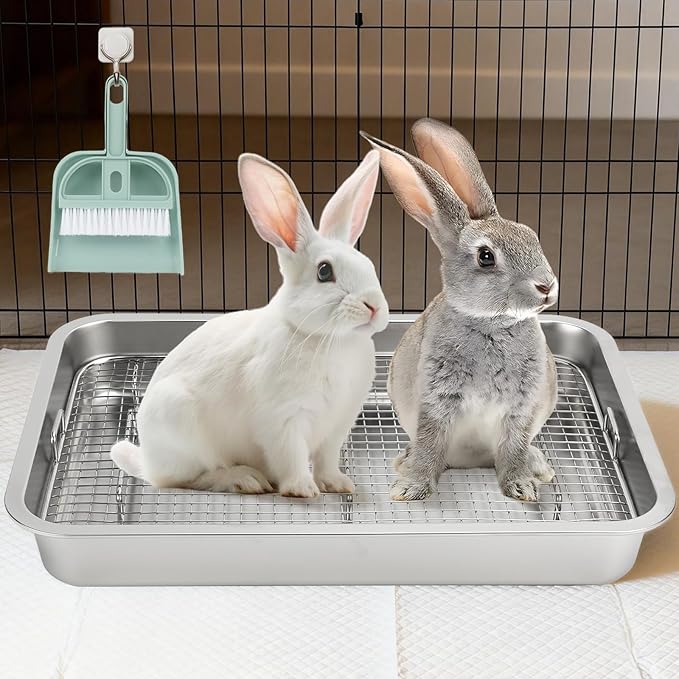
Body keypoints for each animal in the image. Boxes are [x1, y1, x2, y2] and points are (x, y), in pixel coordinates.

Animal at [111, 150, 389, 498]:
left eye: (369, 265)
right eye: (325, 272)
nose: (374, 307)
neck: (327, 339)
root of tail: (147, 461)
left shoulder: (337, 426)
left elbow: (327, 460)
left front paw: (338, 484)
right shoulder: (283, 420)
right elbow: (291, 457)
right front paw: (302, 489)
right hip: (181, 424)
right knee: (188, 478)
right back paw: (245, 479)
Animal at [360, 118, 558, 503]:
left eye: (531, 236)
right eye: (486, 256)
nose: (547, 286)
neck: (492, 324)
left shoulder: (522, 408)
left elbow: (514, 447)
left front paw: (522, 487)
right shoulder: (437, 399)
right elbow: (430, 441)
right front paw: (411, 488)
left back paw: (540, 468)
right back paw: (404, 462)